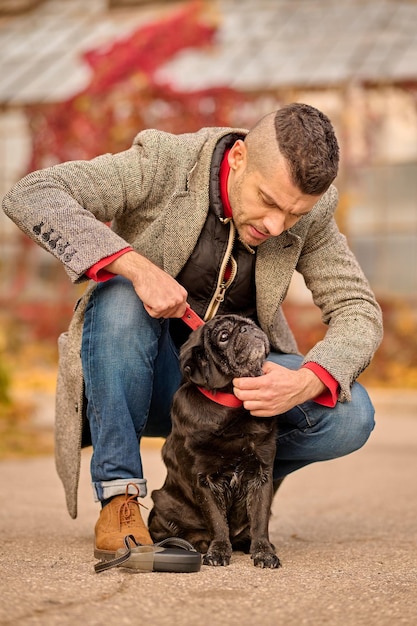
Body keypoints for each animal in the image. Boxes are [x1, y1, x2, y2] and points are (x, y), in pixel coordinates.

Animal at [148, 314, 282, 568]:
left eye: (249, 321)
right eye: (224, 336)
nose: (247, 328)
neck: (232, 406)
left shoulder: (261, 475)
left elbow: (260, 521)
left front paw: (263, 552)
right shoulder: (205, 481)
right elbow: (218, 522)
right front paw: (218, 551)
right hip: (162, 502)